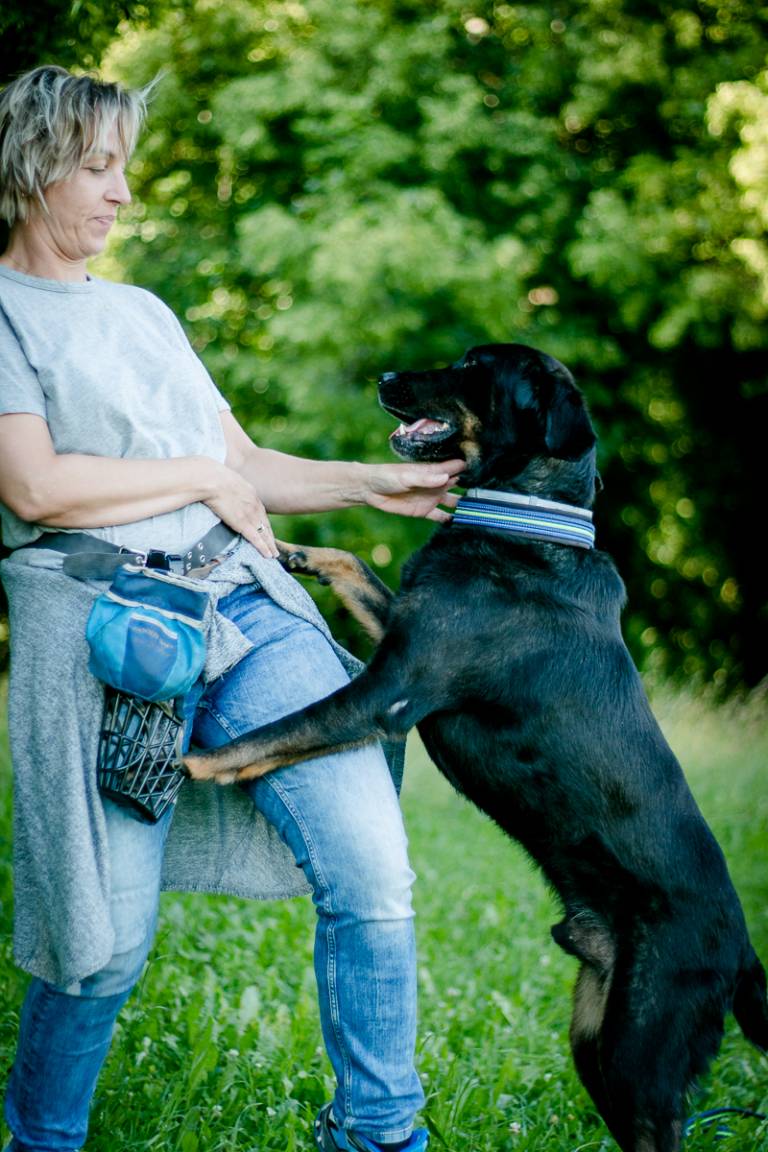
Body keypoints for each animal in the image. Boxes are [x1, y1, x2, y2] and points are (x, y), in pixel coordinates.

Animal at [186, 340, 768, 1152]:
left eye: (472, 368)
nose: (384, 377)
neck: (522, 525)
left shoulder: (387, 695)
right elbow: (349, 562)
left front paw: (189, 763)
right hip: (595, 1036)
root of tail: (743, 954)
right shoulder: (398, 631)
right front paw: (288, 547)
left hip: (639, 1051)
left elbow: (273, 733)